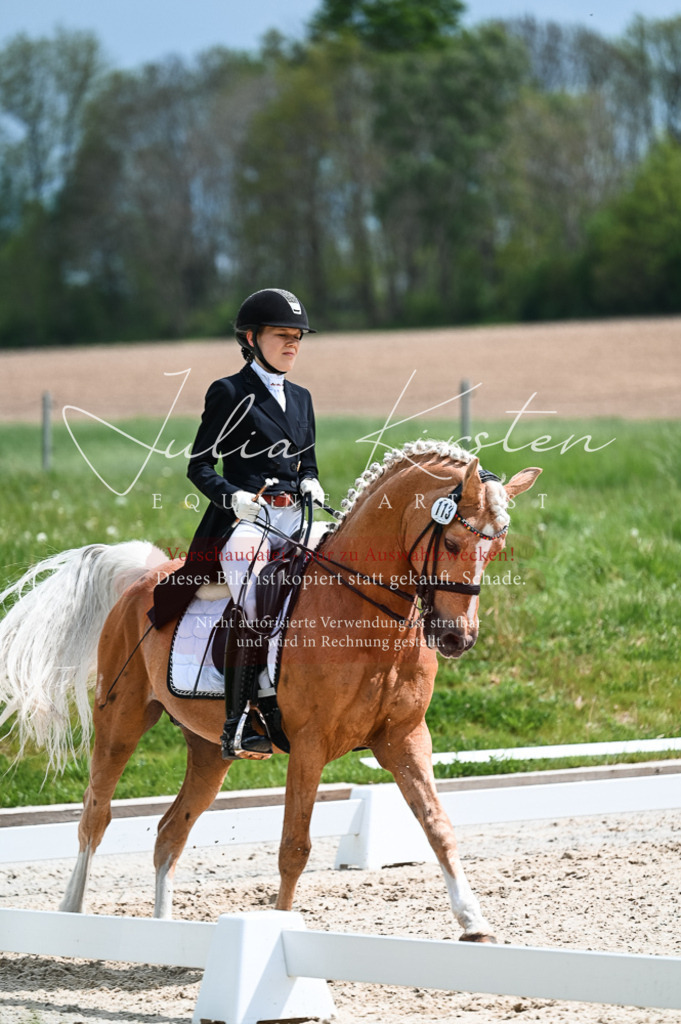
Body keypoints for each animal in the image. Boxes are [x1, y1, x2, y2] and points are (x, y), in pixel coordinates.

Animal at [0, 442, 540, 941]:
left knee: (170, 833)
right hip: (121, 720)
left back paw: (164, 929)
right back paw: (72, 916)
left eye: (495, 550)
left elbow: (438, 826)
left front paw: (474, 922)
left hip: (209, 749)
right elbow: (294, 848)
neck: (365, 614)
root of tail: (143, 579)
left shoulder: (404, 739)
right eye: (452, 543)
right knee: (95, 816)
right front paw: (279, 931)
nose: (456, 639)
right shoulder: (309, 744)